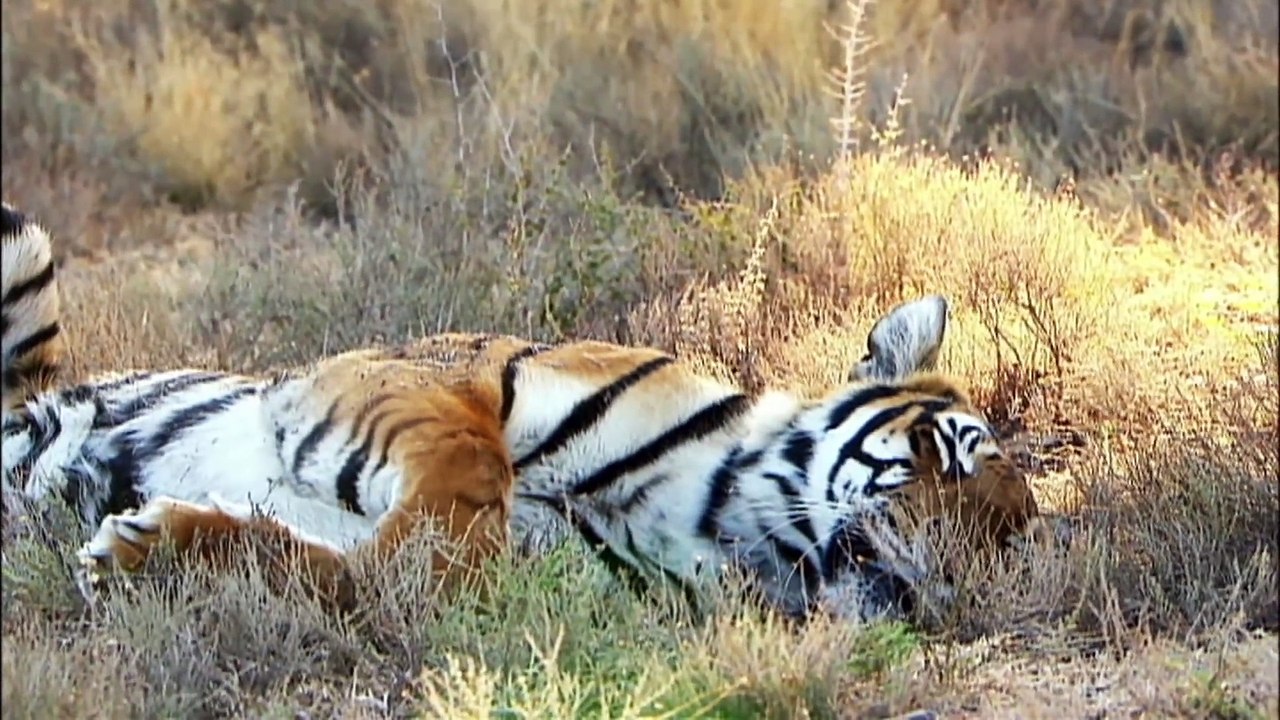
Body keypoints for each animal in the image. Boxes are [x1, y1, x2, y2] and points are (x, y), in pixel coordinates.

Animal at [2, 201, 1047, 622]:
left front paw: (142, 549)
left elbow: (323, 569)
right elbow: (467, 482)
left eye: (1011, 541)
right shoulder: (427, 372)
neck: (716, 514)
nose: (961, 564)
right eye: (946, 452)